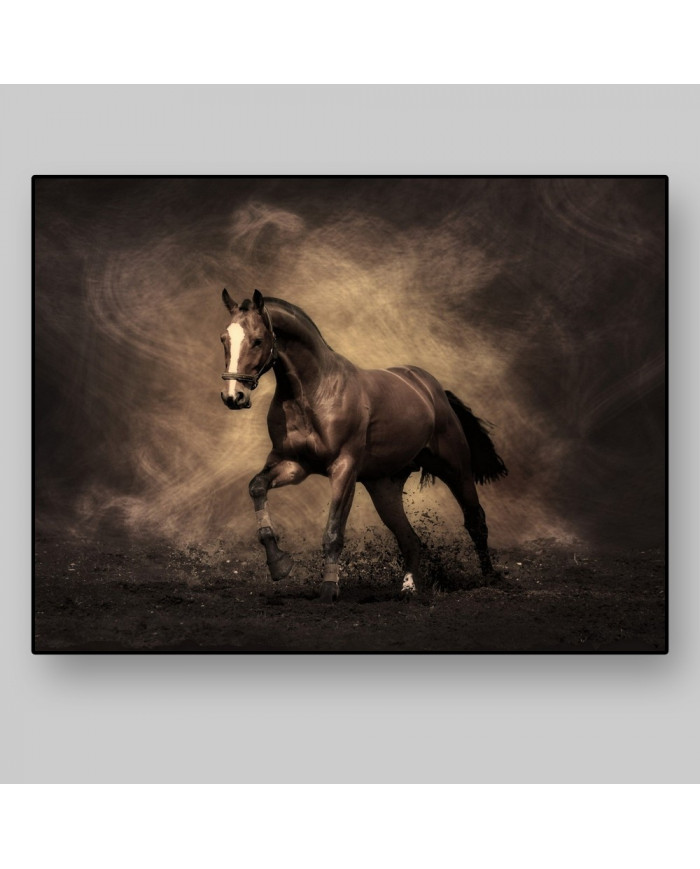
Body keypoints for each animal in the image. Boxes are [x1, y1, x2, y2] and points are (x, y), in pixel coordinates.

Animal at [219, 288, 507, 603]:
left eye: (258, 340)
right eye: (224, 339)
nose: (233, 396)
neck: (314, 393)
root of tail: (432, 390)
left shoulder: (344, 469)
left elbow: (333, 532)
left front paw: (329, 590)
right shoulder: (294, 464)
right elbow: (257, 487)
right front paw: (279, 564)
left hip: (456, 469)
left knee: (475, 521)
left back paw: (490, 579)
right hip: (384, 487)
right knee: (409, 538)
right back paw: (409, 589)